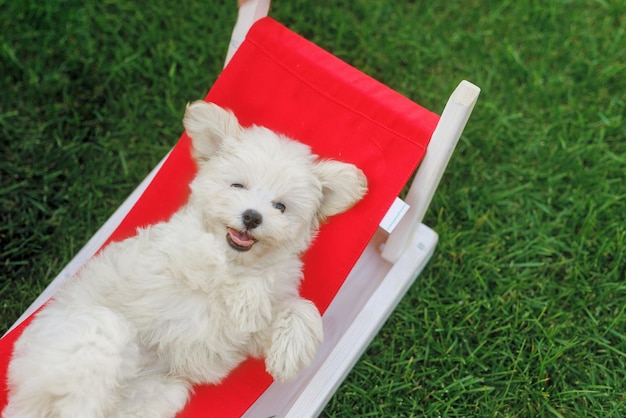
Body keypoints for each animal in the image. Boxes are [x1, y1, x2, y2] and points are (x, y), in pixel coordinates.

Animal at [4, 102, 366, 418]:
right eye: (237, 185)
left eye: (280, 207)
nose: (252, 216)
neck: (246, 261)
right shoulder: (182, 250)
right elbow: (217, 263)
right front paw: (249, 295)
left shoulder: (249, 332)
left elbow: (299, 308)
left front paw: (289, 352)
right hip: (96, 334)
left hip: (162, 393)